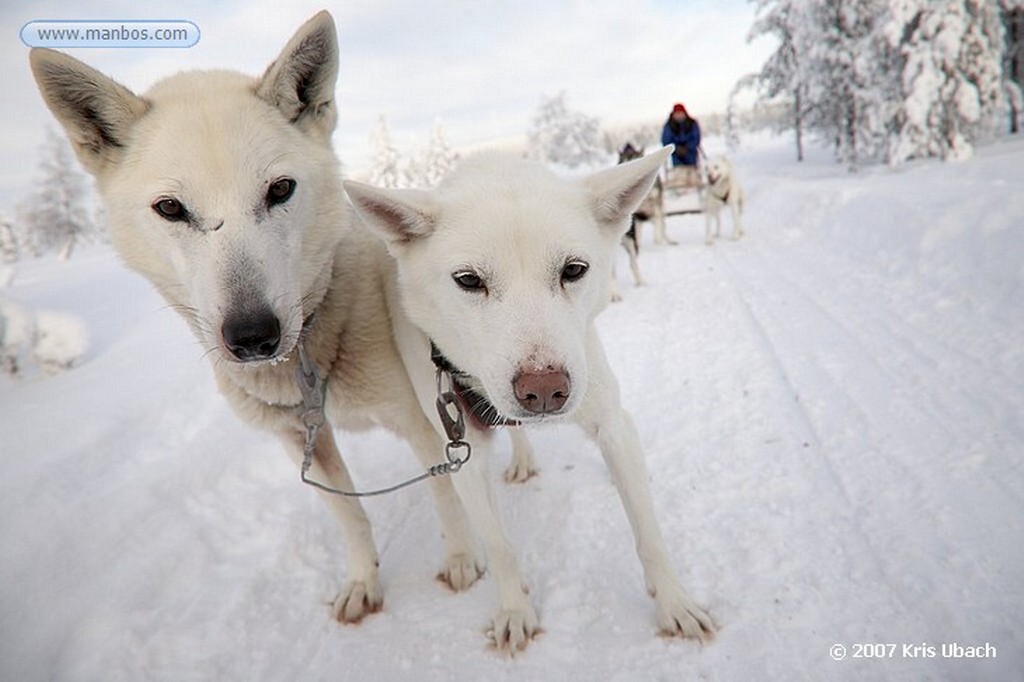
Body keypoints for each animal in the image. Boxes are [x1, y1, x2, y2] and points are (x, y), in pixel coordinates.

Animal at [29, 10, 712, 647]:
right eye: (468, 281)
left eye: (574, 270)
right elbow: (469, 536)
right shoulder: (427, 441)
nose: (543, 389)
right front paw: (509, 608)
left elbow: (648, 532)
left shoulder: (606, 425)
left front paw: (675, 602)